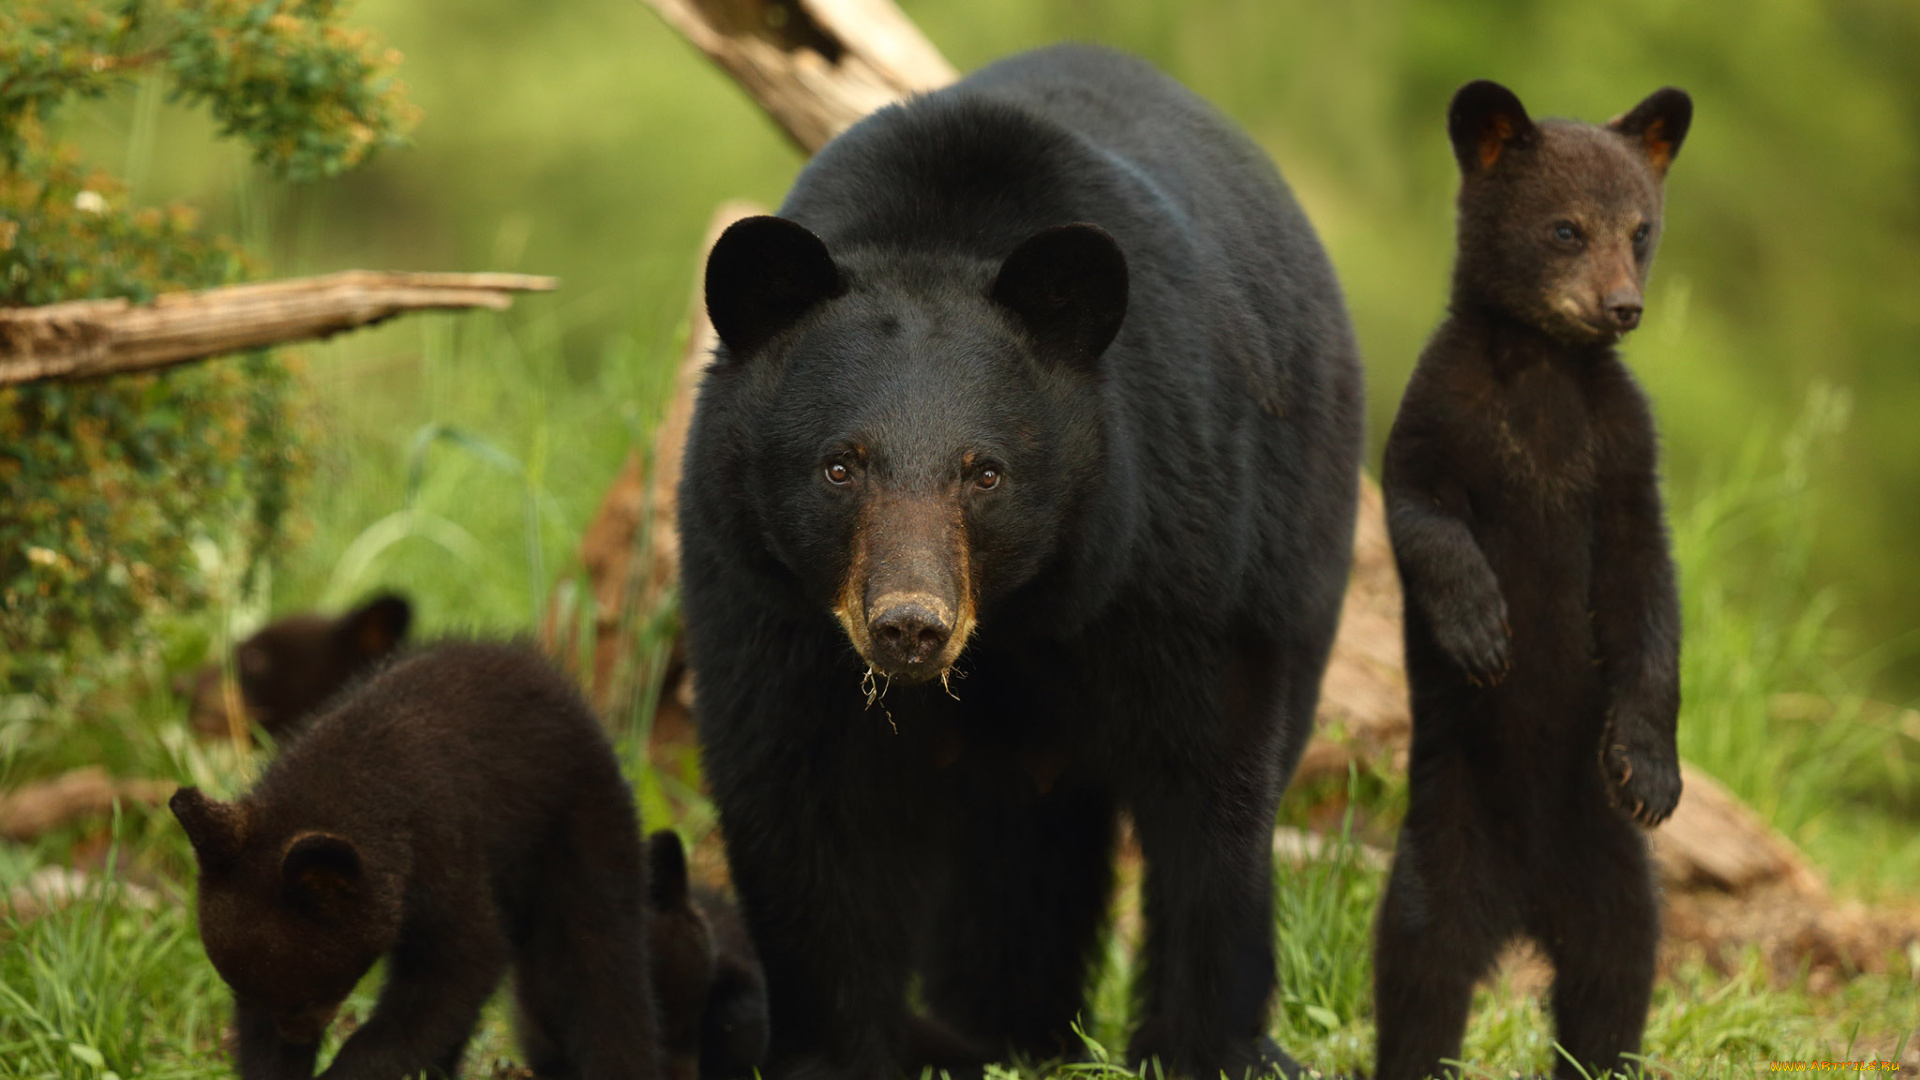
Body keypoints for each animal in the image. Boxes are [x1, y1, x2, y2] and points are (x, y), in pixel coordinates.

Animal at [168, 638, 660, 1076]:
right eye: (241, 992)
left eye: (305, 998)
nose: (295, 1039)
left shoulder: (443, 852)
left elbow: (459, 968)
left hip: (580, 822)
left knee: (601, 955)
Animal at [675, 44, 1367, 1076]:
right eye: (841, 465)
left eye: (985, 471)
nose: (909, 626)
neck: (1013, 620)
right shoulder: (760, 588)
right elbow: (800, 801)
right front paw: (831, 1048)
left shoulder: (1173, 548)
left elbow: (1210, 781)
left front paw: (1211, 1045)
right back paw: (1000, 1024)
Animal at [1374, 79, 1689, 1068]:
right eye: (1564, 229)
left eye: (1641, 229)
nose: (1622, 306)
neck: (1545, 365)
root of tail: (1524, 905)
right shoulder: (1439, 413)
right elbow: (1422, 513)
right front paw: (1483, 634)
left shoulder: (1623, 453)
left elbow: (1647, 593)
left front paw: (1651, 771)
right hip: (1443, 840)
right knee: (1421, 973)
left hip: (1616, 873)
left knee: (1614, 977)